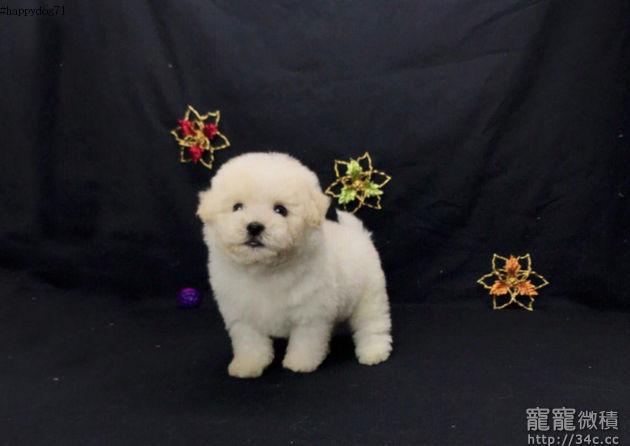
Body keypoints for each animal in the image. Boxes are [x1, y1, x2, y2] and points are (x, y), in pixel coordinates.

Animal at [197, 152, 392, 378]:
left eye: (280, 210)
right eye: (237, 207)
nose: (254, 226)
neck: (264, 270)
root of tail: (359, 235)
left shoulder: (311, 311)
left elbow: (306, 341)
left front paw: (300, 362)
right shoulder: (242, 314)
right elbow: (249, 342)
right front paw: (247, 365)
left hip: (370, 294)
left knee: (372, 324)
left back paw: (374, 351)